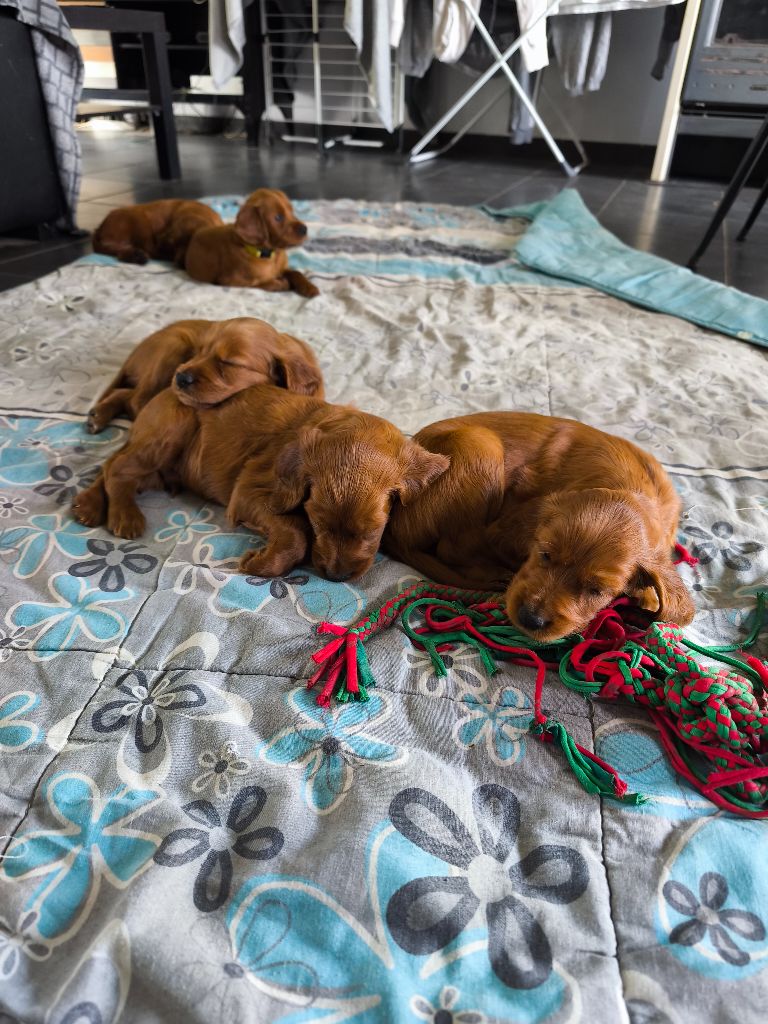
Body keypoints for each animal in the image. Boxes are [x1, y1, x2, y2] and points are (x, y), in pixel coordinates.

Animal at [72, 386, 449, 582]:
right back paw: (124, 515)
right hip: (171, 430)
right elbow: (294, 533)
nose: (335, 576)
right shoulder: (250, 490)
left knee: (113, 461)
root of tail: (164, 391)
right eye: (318, 524)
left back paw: (89, 504)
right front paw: (260, 563)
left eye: (373, 531)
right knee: (119, 467)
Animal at [86, 317, 324, 434]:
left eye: (229, 363)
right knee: (135, 400)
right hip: (174, 345)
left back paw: (98, 415)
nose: (180, 378)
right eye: (198, 351)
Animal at [92, 199, 223, 266]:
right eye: (174, 245)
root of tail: (99, 228)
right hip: (139, 220)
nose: (180, 262)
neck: (196, 211)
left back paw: (135, 255)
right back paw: (138, 255)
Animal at [185, 188, 319, 297]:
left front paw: (309, 287)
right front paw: (281, 283)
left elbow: (296, 273)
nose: (304, 229)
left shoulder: (282, 269)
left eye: (291, 211)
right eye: (278, 217)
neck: (268, 254)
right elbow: (260, 283)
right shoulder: (229, 280)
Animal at [383, 412, 695, 641]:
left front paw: (646, 599)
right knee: (452, 548)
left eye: (597, 591)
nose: (530, 619)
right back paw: (493, 573)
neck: (632, 487)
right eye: (544, 554)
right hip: (481, 446)